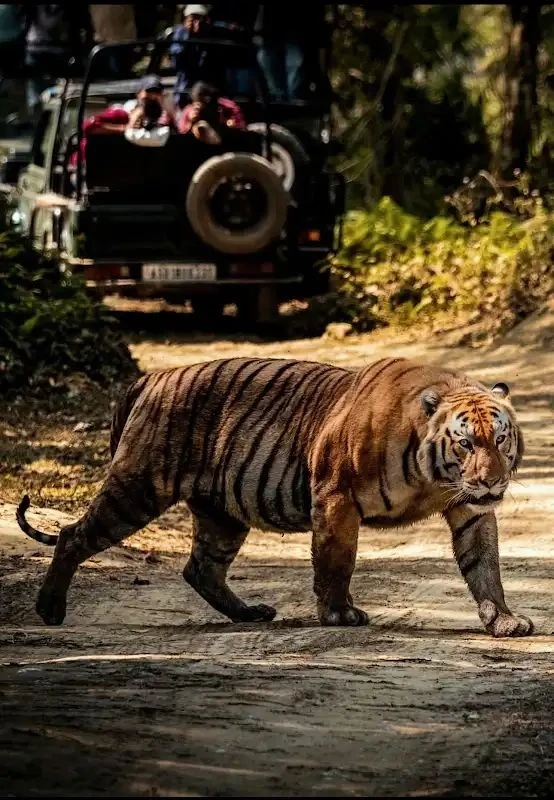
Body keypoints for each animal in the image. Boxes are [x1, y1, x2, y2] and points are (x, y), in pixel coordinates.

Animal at [16, 355, 533, 638]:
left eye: (500, 439)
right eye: (465, 443)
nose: (491, 482)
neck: (435, 478)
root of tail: (153, 377)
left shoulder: (470, 511)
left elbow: (485, 567)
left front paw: (504, 621)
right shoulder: (336, 497)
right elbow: (336, 561)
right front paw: (339, 614)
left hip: (221, 513)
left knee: (201, 568)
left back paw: (249, 613)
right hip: (137, 488)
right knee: (72, 534)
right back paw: (50, 609)